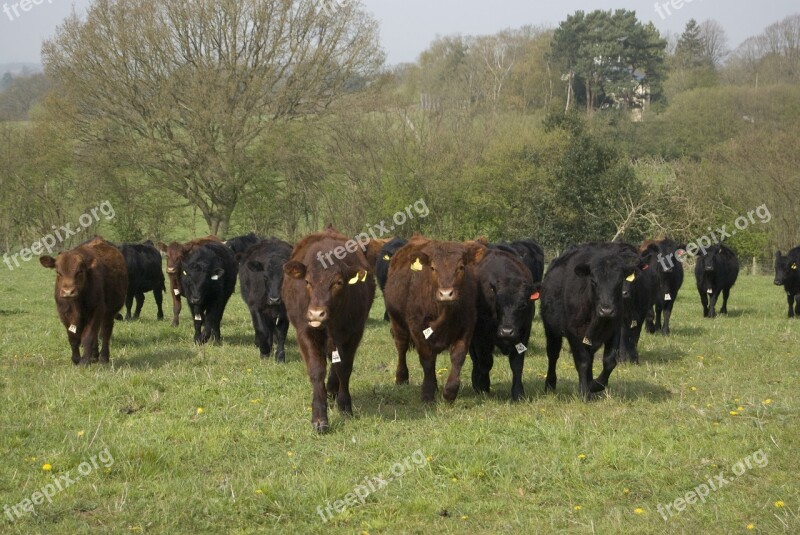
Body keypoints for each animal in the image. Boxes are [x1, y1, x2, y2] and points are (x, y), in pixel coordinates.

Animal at [40, 238, 128, 366]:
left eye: (80, 272)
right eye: (58, 272)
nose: (68, 292)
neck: (76, 304)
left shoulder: (96, 310)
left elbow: (88, 336)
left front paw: (84, 361)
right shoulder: (64, 313)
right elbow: (73, 338)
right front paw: (76, 359)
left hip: (109, 312)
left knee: (105, 332)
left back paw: (103, 357)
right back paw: (94, 356)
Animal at [282, 228, 376, 434]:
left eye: (338, 282)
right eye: (307, 281)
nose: (316, 313)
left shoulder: (353, 333)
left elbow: (344, 369)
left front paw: (345, 405)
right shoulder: (305, 332)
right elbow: (317, 371)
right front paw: (319, 418)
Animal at [384, 237, 484, 404]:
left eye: (461, 267)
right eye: (432, 268)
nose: (446, 294)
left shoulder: (467, 327)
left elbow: (458, 357)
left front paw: (449, 393)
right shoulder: (417, 328)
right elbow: (427, 360)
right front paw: (427, 393)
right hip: (396, 321)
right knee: (401, 347)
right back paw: (401, 378)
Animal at [468, 249, 536, 400]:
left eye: (523, 305)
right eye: (498, 304)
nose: (507, 331)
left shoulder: (524, 333)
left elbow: (517, 364)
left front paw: (518, 393)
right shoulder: (481, 336)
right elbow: (485, 362)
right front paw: (483, 387)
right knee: (476, 360)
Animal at [540, 243, 640, 398]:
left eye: (619, 282)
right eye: (593, 281)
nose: (606, 310)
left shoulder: (614, 329)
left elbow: (609, 361)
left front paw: (594, 385)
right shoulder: (574, 333)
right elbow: (583, 362)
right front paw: (584, 393)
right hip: (551, 330)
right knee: (553, 355)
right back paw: (550, 385)